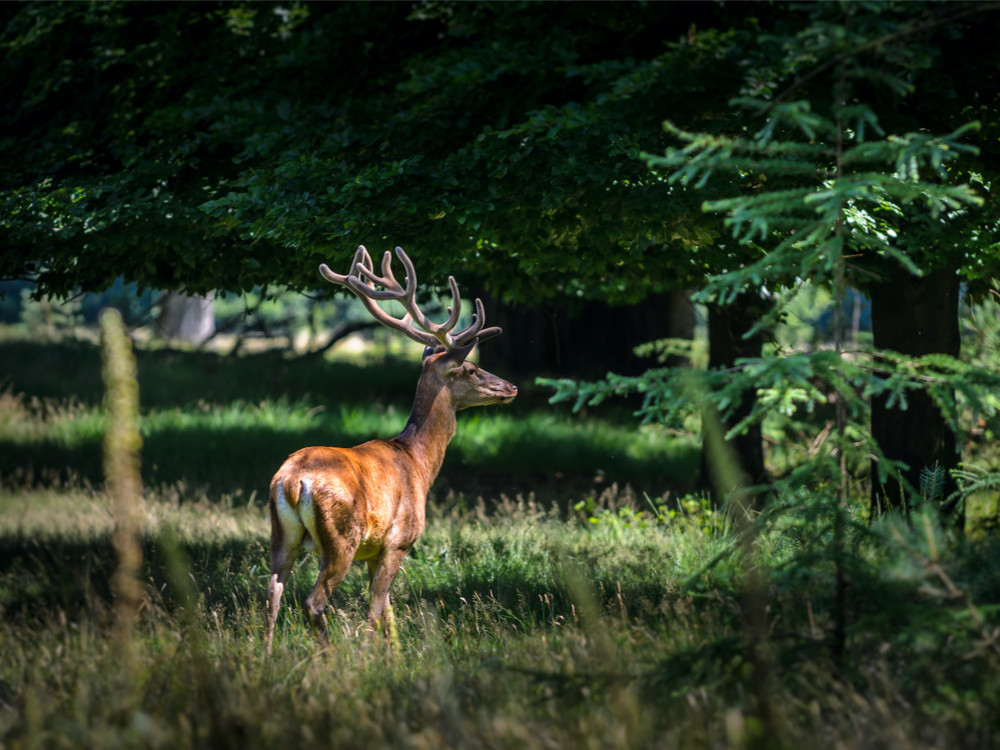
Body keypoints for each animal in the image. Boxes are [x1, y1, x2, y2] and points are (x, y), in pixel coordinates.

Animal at [266, 248, 516, 656]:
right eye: (471, 368)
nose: (511, 386)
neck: (418, 461)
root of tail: (291, 481)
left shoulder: (374, 552)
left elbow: (389, 615)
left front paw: (395, 657)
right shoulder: (398, 541)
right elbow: (376, 610)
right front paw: (373, 658)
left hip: (281, 533)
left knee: (272, 595)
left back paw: (267, 656)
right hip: (341, 539)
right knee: (313, 602)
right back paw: (328, 658)